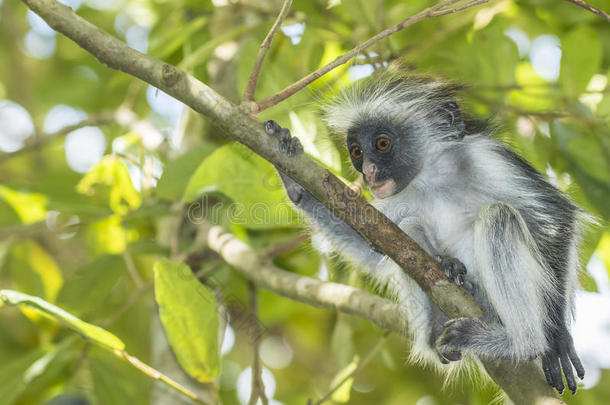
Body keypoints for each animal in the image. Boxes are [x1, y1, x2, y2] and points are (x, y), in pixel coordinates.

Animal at [264, 72, 588, 392]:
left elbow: (556, 216)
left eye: (382, 144)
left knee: (498, 216)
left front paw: (558, 338)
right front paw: (295, 184)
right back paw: (445, 295)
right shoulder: (400, 194)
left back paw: (521, 343)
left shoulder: (486, 158)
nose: (368, 172)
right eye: (356, 151)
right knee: (410, 227)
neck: (432, 176)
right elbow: (375, 249)